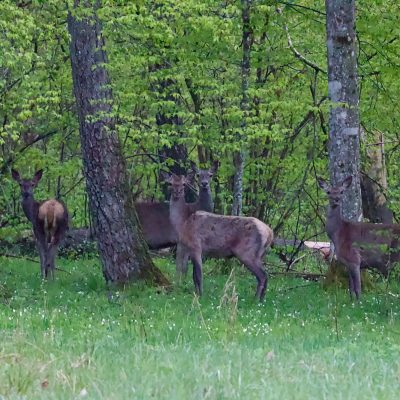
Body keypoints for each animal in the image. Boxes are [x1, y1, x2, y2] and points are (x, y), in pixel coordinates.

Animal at [164, 173, 274, 302]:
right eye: (170, 183)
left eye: (184, 184)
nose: (177, 192)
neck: (183, 223)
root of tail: (270, 233)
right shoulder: (189, 249)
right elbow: (192, 274)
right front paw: (195, 292)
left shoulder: (196, 246)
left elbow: (198, 274)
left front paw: (201, 295)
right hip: (259, 254)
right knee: (265, 275)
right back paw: (261, 300)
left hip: (247, 252)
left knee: (262, 276)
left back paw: (256, 299)